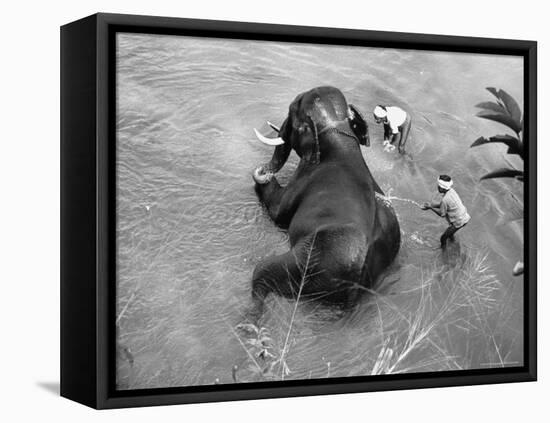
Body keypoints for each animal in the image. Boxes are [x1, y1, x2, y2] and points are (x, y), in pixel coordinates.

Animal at [250, 86, 402, 322]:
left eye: (292, 110)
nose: (263, 169)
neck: (339, 135)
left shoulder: (302, 179)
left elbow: (278, 213)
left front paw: (260, 176)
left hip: (308, 263)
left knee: (261, 272)